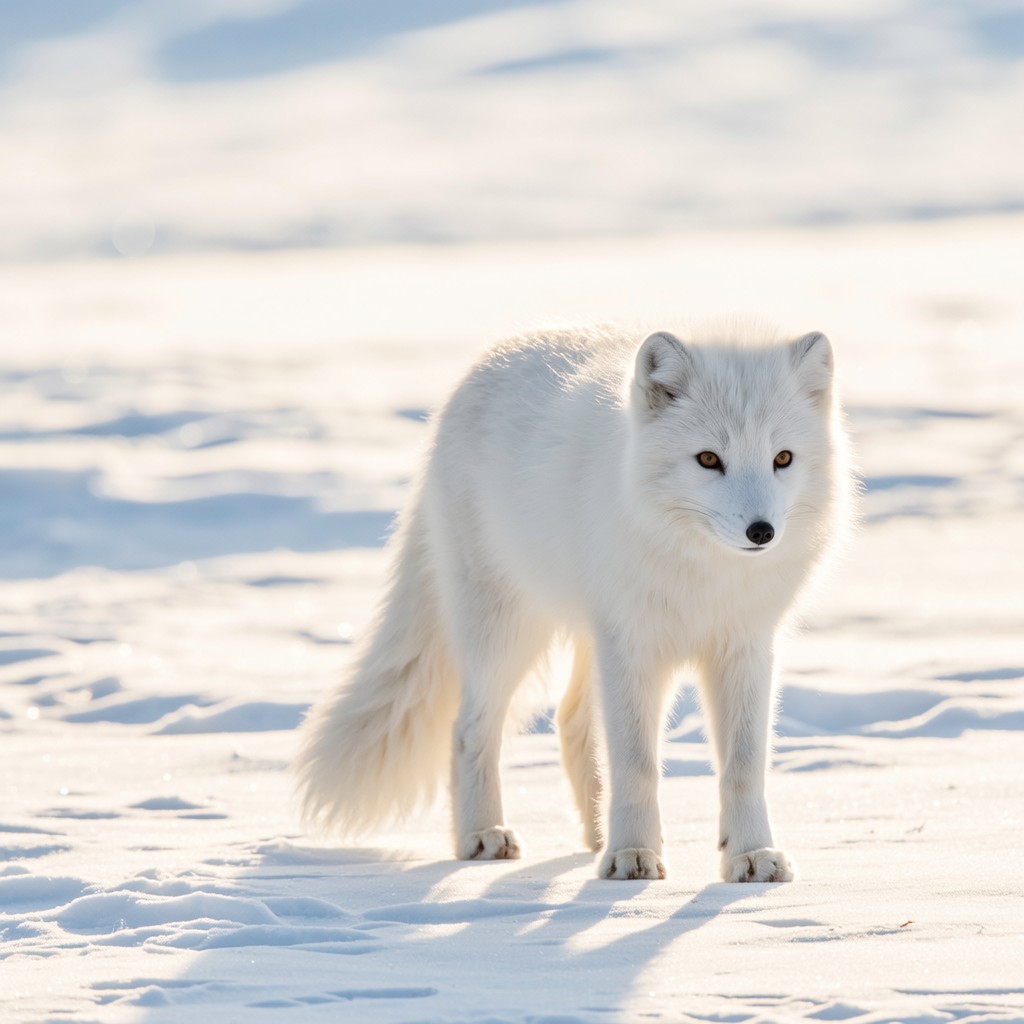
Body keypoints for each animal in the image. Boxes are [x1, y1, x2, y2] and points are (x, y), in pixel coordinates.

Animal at [294, 324, 850, 882]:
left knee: (571, 722)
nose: (762, 532)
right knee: (470, 729)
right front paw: (633, 854)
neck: (706, 575)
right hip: (507, 633)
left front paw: (751, 856)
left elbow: (743, 769)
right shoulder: (632, 646)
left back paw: (594, 835)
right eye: (709, 459)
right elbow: (637, 765)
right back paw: (483, 835)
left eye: (782, 459)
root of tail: (479, 371)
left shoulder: (745, 647)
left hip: (586, 639)